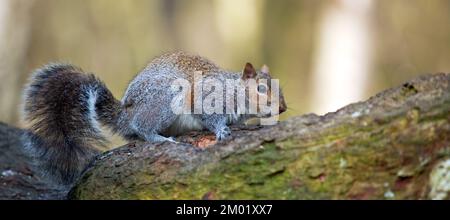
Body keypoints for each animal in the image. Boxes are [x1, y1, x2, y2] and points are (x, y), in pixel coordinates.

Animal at [21, 51, 286, 184]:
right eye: (261, 88)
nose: (283, 108)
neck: (234, 91)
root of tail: (126, 114)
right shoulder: (206, 99)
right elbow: (211, 118)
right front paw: (221, 131)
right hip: (164, 100)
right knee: (142, 128)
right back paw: (160, 138)